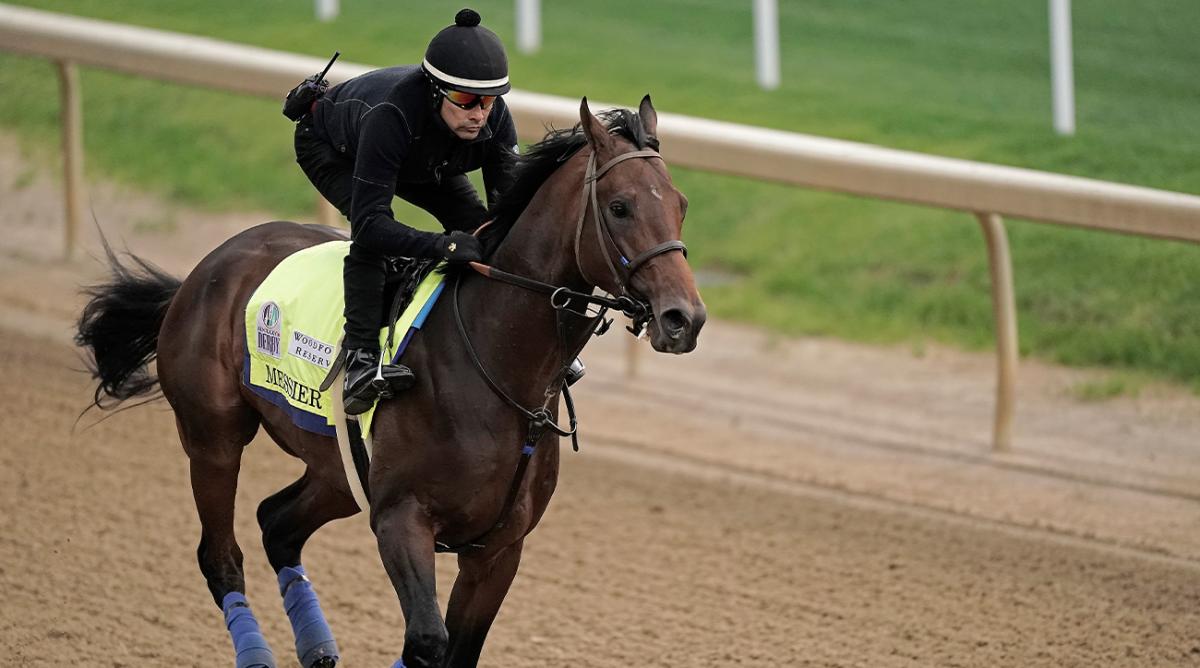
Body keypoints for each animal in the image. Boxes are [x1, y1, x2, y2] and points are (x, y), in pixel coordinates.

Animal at [77, 96, 700, 662]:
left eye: (681, 205)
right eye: (619, 207)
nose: (684, 318)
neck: (500, 370)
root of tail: (206, 267)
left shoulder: (499, 548)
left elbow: (456, 649)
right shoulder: (401, 519)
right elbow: (427, 640)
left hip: (338, 471)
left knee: (277, 523)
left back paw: (318, 648)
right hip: (213, 439)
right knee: (221, 556)